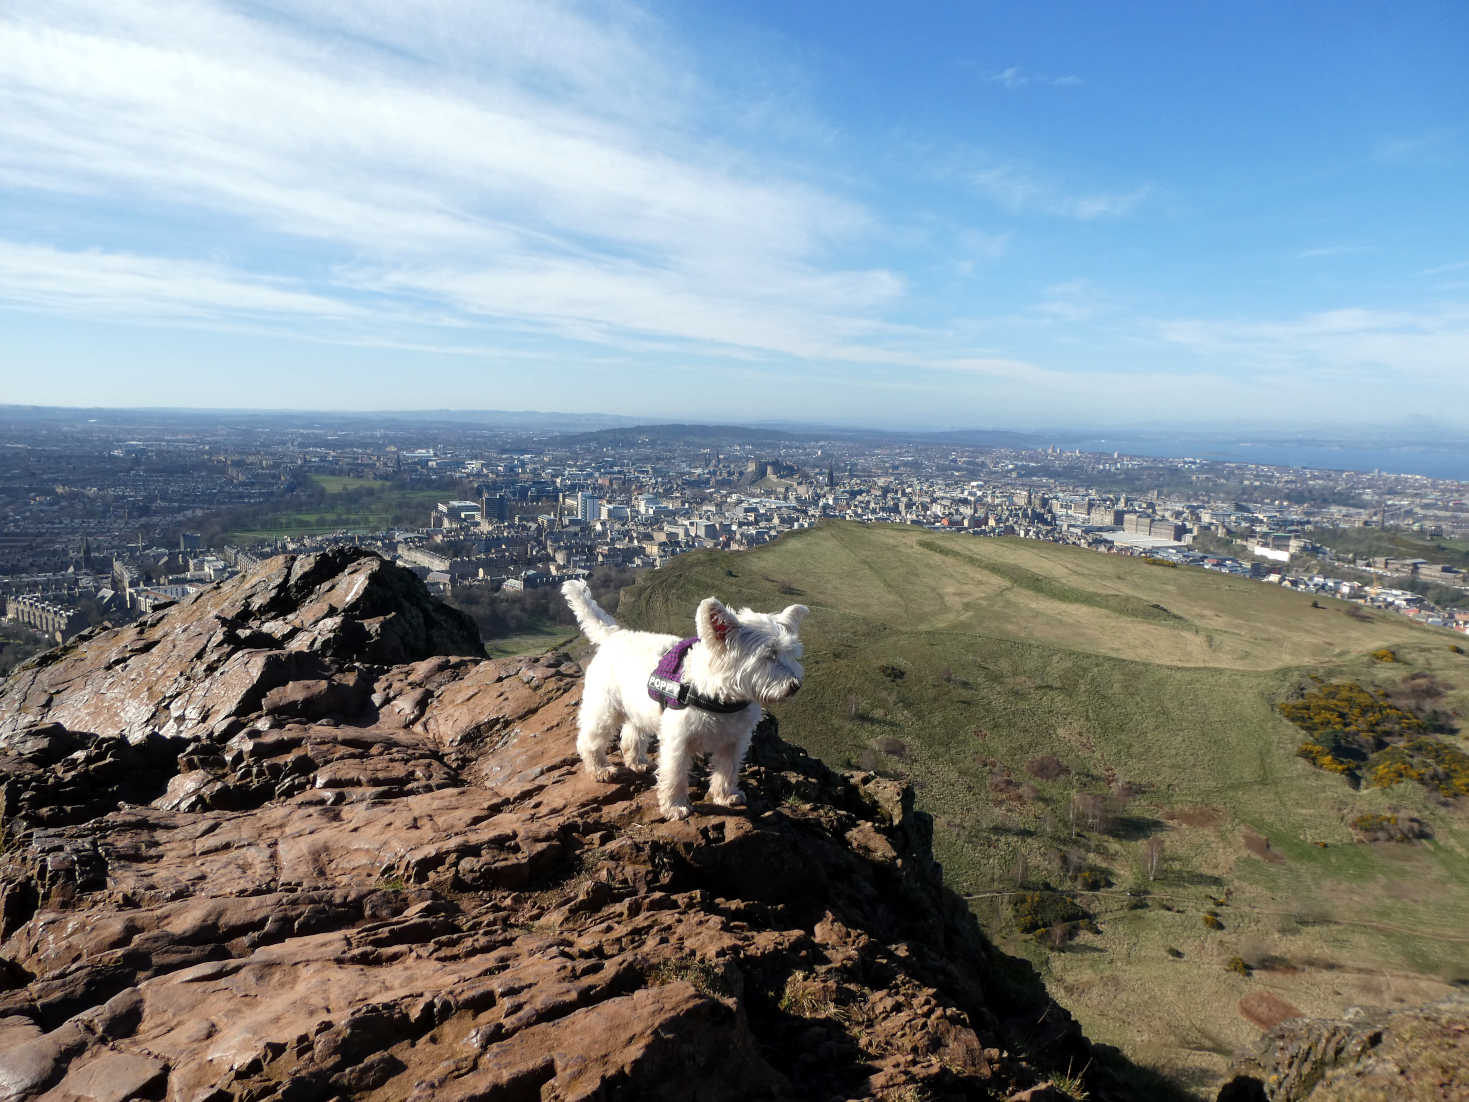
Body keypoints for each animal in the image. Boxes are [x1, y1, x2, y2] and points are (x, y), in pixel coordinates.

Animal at [567, 587, 810, 822]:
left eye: (791, 654)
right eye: (769, 655)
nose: (795, 686)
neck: (722, 696)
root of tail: (614, 635)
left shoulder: (734, 740)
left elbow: (728, 769)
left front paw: (725, 796)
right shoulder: (678, 740)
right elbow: (674, 775)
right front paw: (675, 807)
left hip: (638, 708)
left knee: (631, 735)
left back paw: (637, 761)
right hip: (605, 708)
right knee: (589, 740)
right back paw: (600, 769)